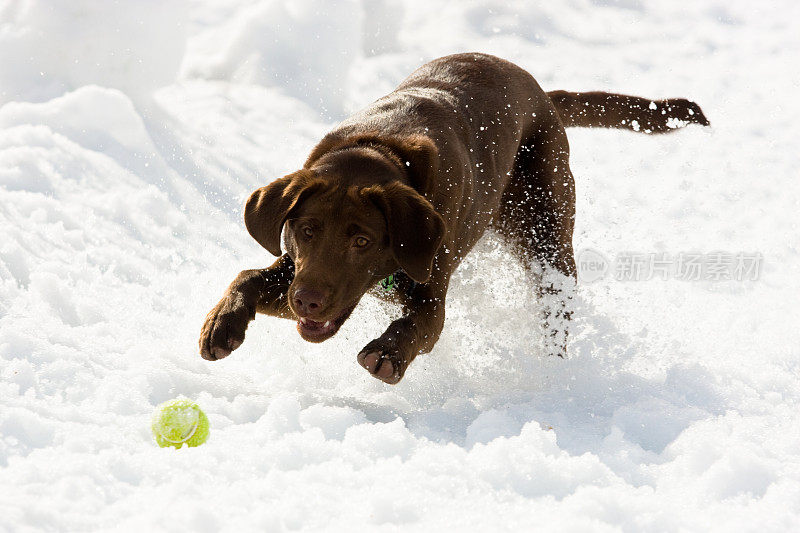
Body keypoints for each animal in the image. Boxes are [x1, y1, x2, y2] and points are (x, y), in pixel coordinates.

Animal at [198, 53, 708, 382]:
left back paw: (551, 371)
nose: (308, 302)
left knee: (556, 306)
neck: (378, 147)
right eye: (306, 231)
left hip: (546, 236)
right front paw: (222, 325)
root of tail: (541, 92)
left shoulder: (428, 290)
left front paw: (387, 352)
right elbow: (247, 277)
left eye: (362, 241)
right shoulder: (300, 274)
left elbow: (421, 325)